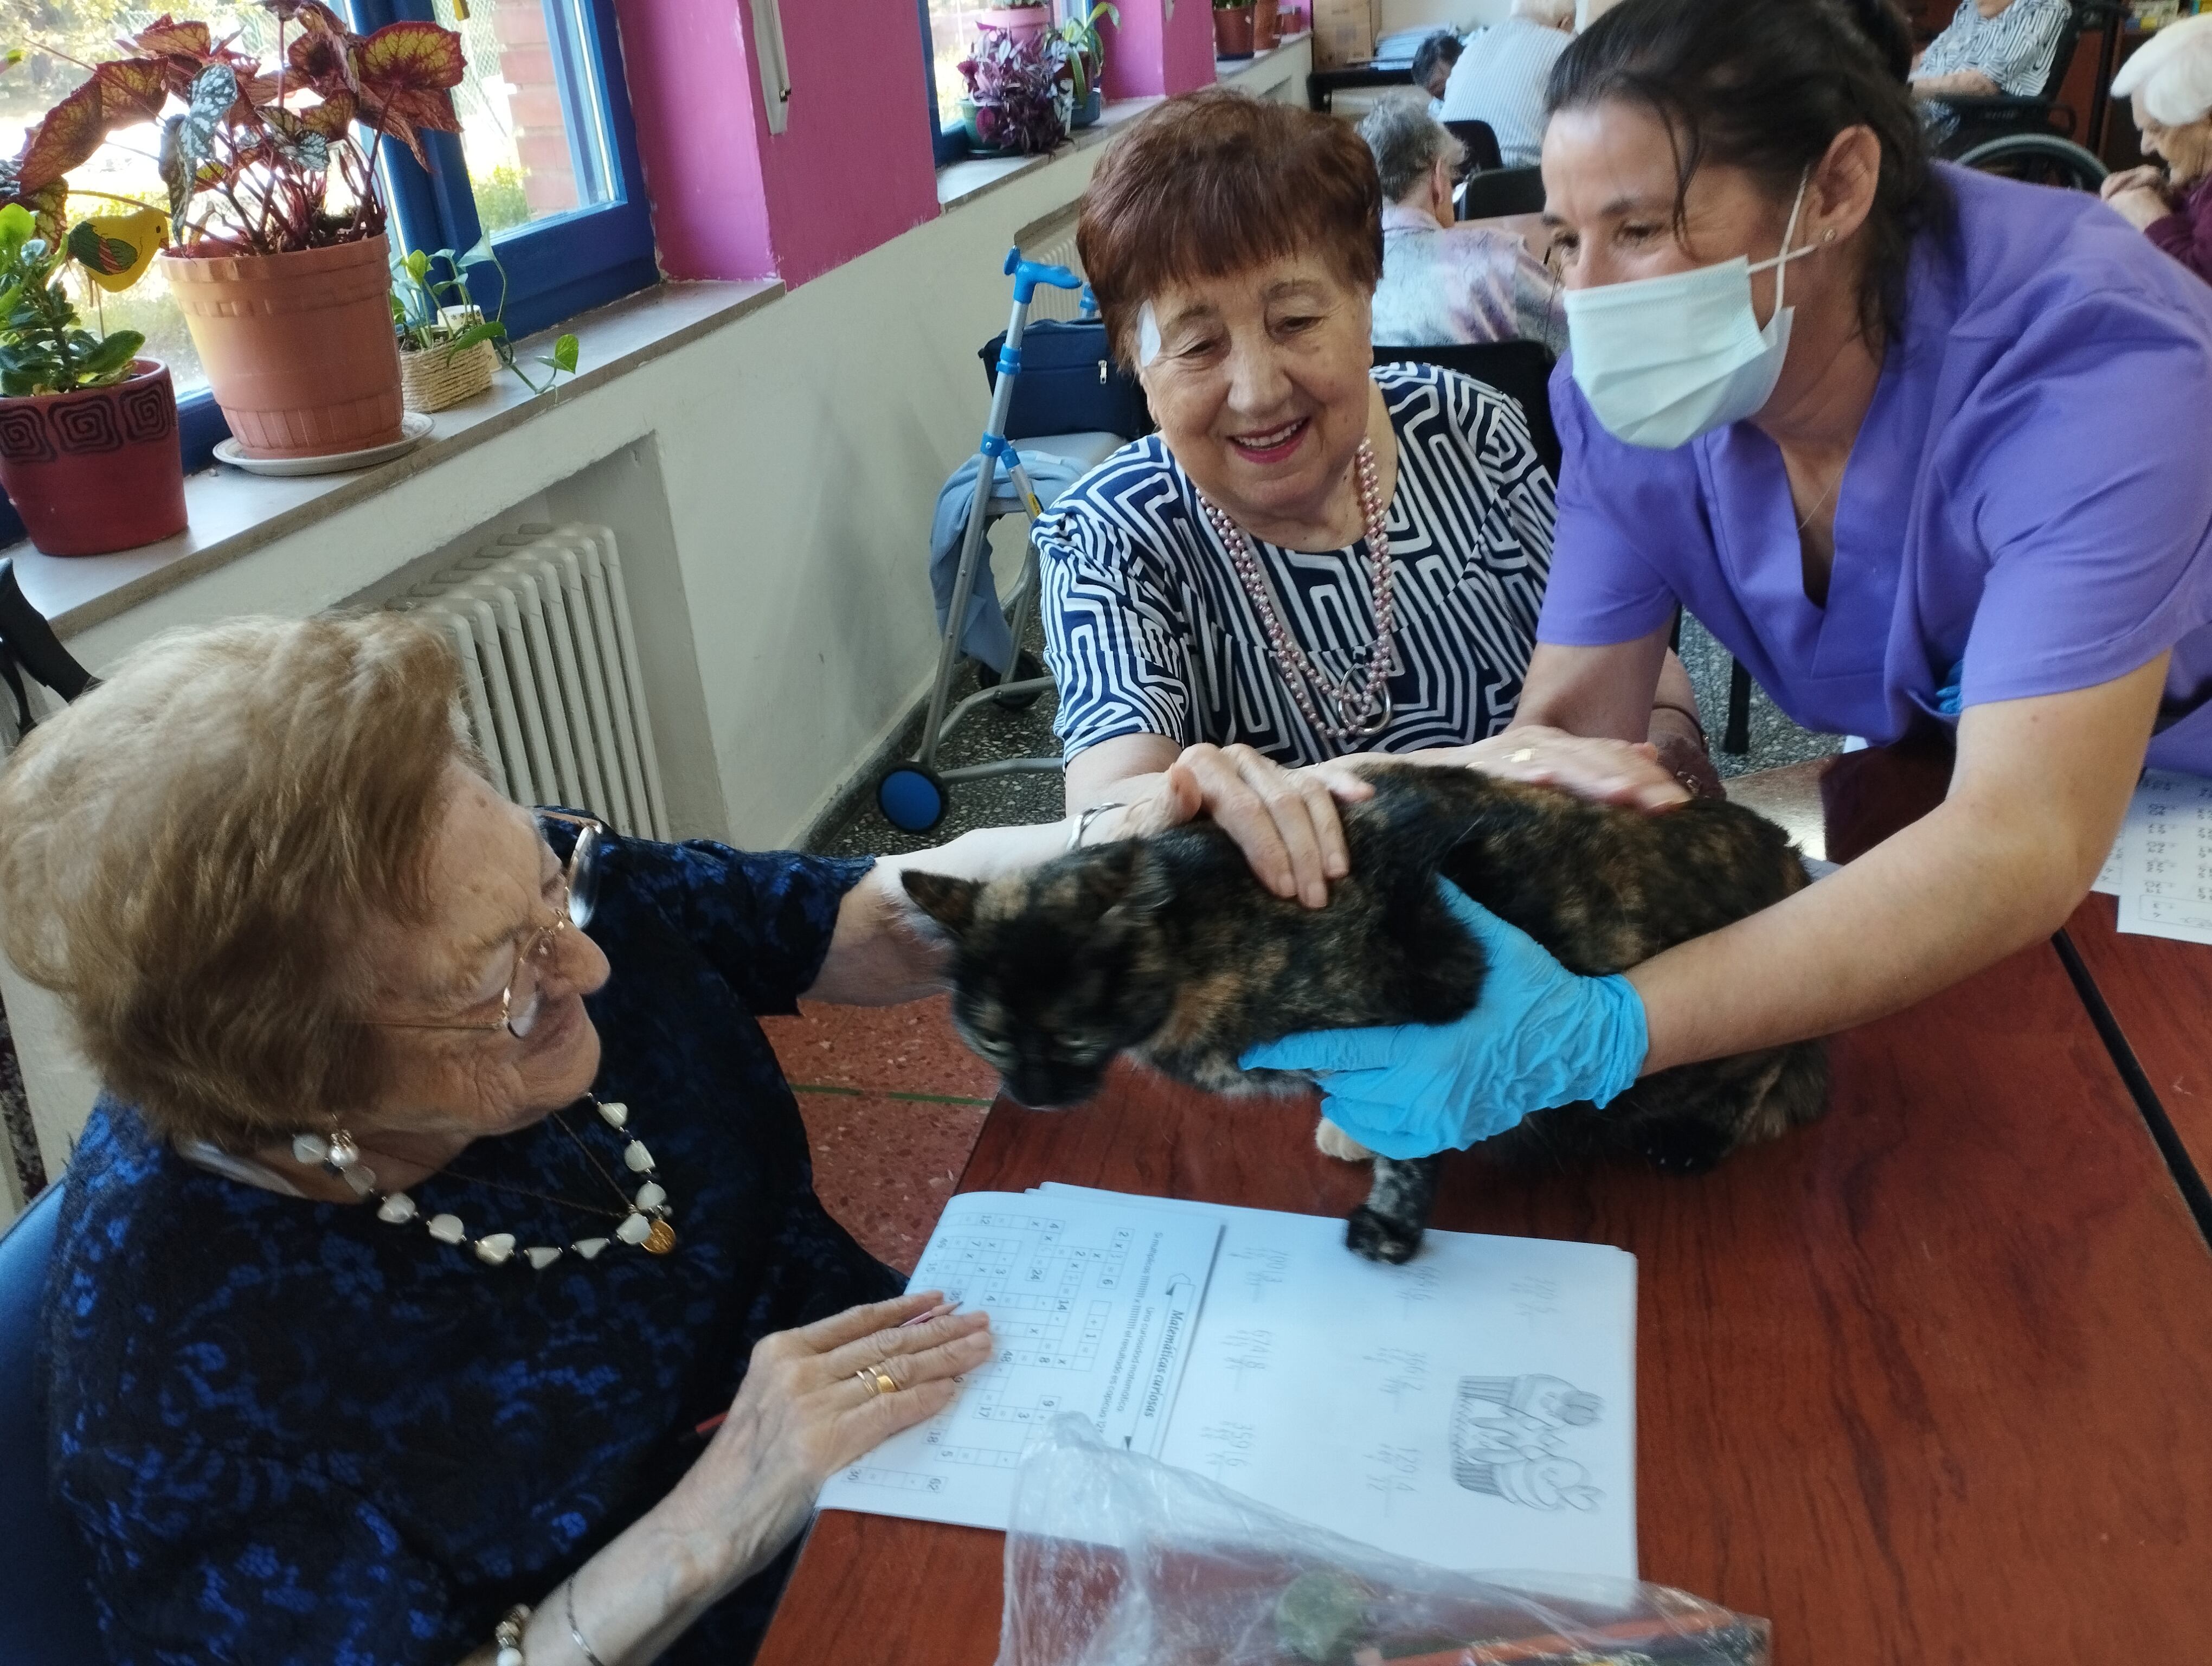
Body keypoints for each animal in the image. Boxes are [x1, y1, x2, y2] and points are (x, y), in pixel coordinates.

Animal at [902, 765, 1831, 1257]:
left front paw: (1389, 1223)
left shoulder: (1435, 1004)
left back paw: (1697, 1138)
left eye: (1070, 1033)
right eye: (991, 1037)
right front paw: (1347, 1130)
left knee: (1773, 1060)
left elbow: (1414, 1145)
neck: (1199, 935)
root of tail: (1792, 852)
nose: (1030, 1093)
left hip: (1733, 1033)